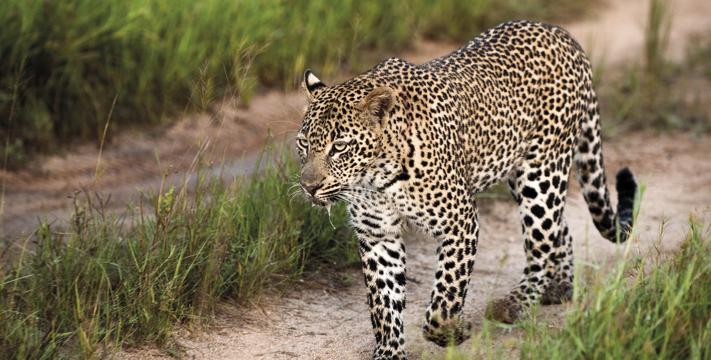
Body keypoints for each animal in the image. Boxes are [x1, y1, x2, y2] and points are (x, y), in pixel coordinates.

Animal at [292, 20, 636, 360]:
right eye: (303, 144)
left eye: (339, 147)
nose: (309, 187)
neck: (376, 177)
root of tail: (563, 35)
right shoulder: (378, 235)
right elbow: (383, 302)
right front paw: (389, 352)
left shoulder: (459, 222)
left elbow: (446, 293)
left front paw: (450, 332)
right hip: (522, 176)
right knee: (559, 228)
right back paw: (560, 286)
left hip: (541, 173)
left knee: (542, 242)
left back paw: (515, 303)